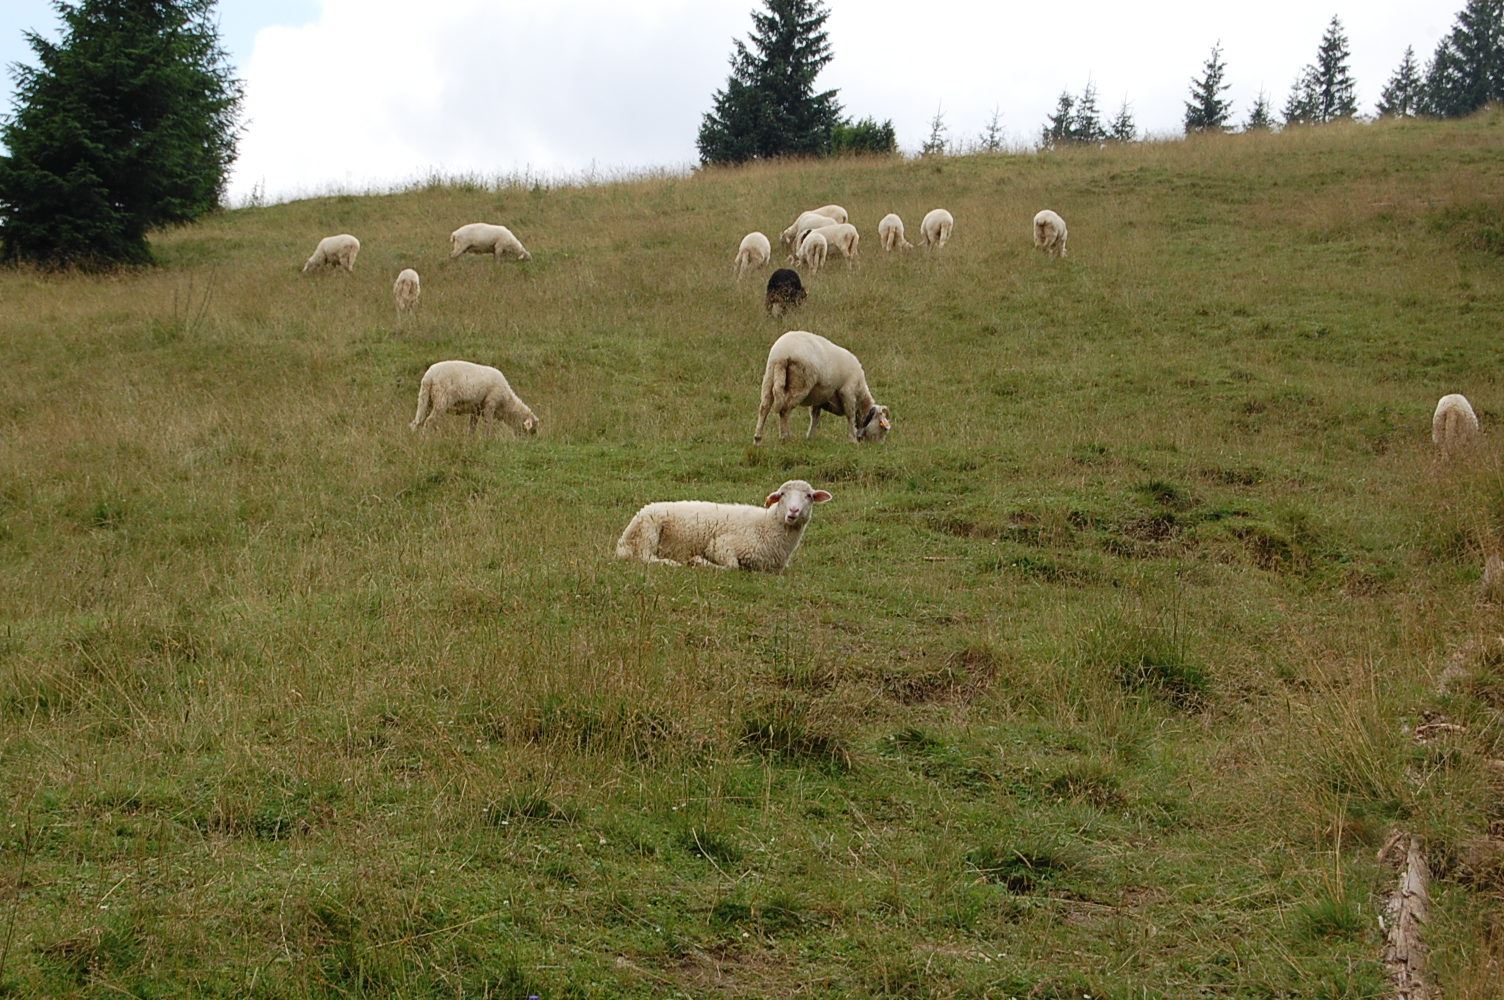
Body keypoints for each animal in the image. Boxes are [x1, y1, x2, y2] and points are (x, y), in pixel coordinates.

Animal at [410, 360, 539, 435]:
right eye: (532, 431)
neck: (506, 403)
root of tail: (428, 377)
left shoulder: (476, 409)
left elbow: (472, 427)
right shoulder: (490, 405)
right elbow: (488, 425)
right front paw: (488, 439)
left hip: (426, 399)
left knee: (418, 422)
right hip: (441, 400)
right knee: (429, 421)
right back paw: (426, 439)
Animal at [615, 479, 832, 572]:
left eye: (809, 496)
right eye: (782, 495)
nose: (793, 511)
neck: (767, 525)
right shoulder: (720, 545)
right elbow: (732, 566)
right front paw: (698, 561)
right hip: (648, 531)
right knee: (645, 557)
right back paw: (670, 563)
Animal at [754, 330, 892, 445]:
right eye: (883, 427)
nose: (879, 446)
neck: (861, 397)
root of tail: (782, 354)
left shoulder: (819, 399)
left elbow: (815, 417)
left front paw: (810, 437)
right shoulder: (847, 392)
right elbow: (850, 416)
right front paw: (852, 440)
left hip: (769, 376)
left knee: (764, 407)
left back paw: (757, 439)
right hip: (800, 383)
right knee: (784, 410)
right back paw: (784, 437)